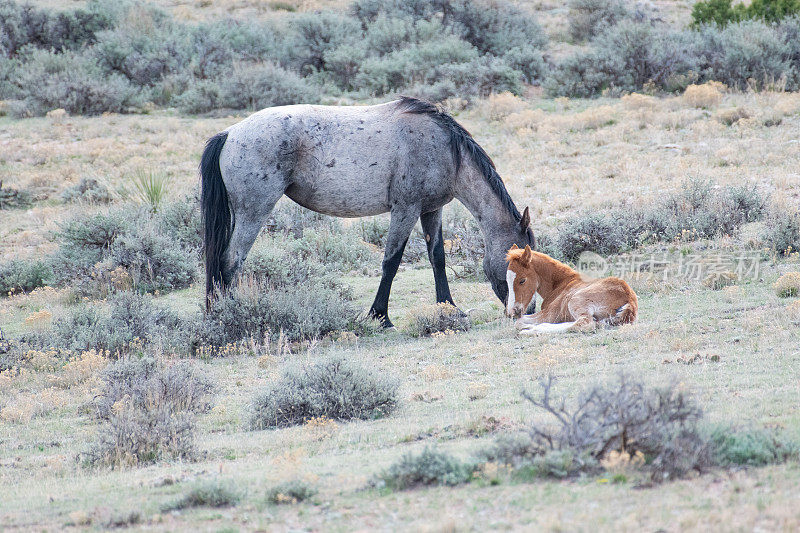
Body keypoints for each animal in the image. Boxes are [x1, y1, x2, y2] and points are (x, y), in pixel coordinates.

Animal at [203, 97, 536, 326]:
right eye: (520, 268)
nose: (528, 311)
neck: (445, 149)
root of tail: (230, 133)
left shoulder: (431, 210)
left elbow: (437, 258)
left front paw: (449, 307)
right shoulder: (405, 210)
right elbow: (391, 261)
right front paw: (380, 316)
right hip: (253, 212)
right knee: (230, 262)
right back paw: (228, 315)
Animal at [506, 245, 636, 332]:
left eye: (522, 280)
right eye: (507, 280)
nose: (513, 311)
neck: (562, 283)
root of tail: (629, 301)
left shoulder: (550, 314)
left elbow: (519, 322)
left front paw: (529, 326)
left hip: (576, 300)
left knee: (585, 323)